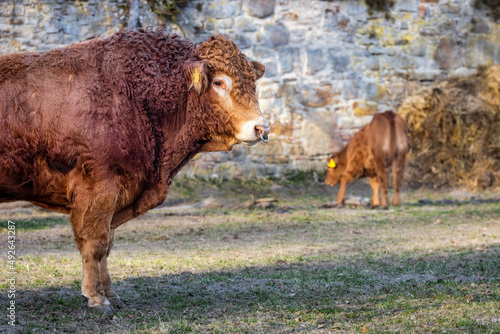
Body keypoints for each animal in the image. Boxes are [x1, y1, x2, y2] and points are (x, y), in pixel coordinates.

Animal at [0, 28, 270, 314]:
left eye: (252, 83)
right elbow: (94, 245)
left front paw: (111, 294)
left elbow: (107, 246)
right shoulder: (97, 189)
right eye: (219, 82)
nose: (262, 128)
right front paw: (96, 298)